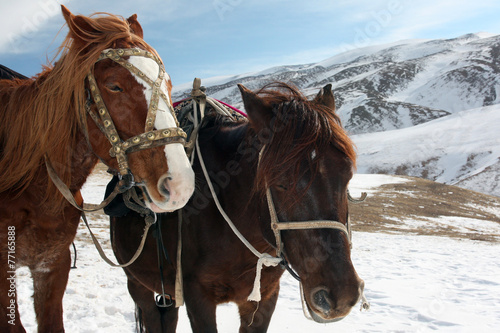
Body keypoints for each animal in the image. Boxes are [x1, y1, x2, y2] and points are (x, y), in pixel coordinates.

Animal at [111, 81, 366, 330]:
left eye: (347, 177)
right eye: (280, 183)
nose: (340, 295)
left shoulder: (264, 296)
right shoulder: (197, 298)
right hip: (137, 283)